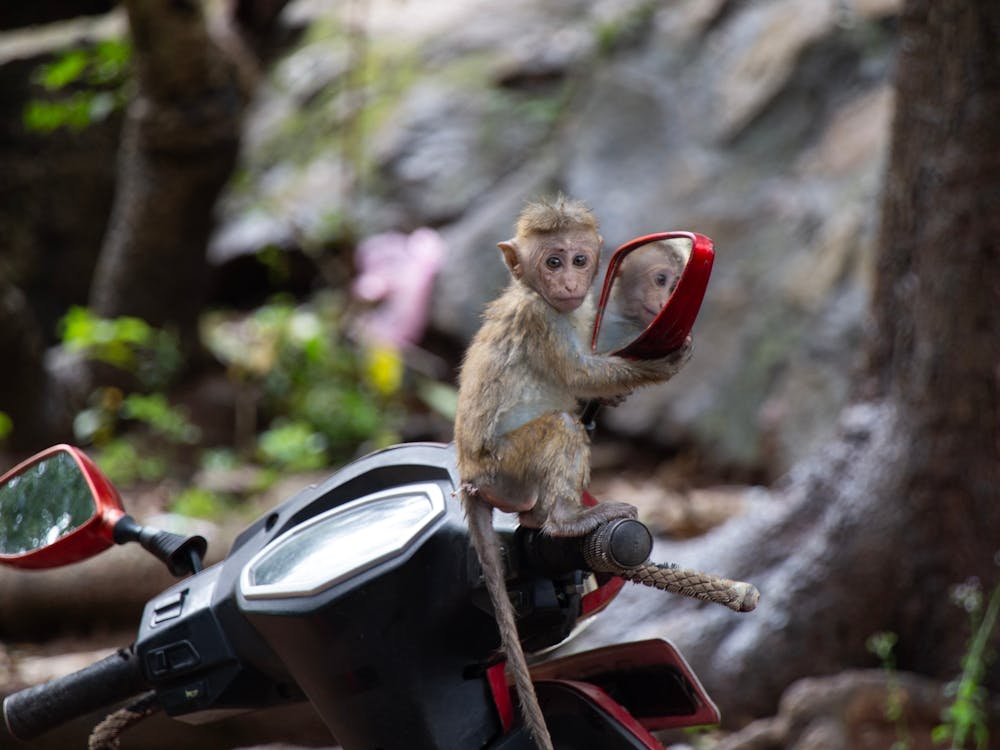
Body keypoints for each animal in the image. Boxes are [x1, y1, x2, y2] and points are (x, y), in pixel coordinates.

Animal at [453, 196, 692, 750]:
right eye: (552, 261)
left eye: (579, 260)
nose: (567, 281)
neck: (543, 298)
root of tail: (470, 479)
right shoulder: (541, 318)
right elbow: (580, 374)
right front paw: (663, 363)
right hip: (505, 466)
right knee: (561, 426)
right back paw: (566, 519)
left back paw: (542, 519)